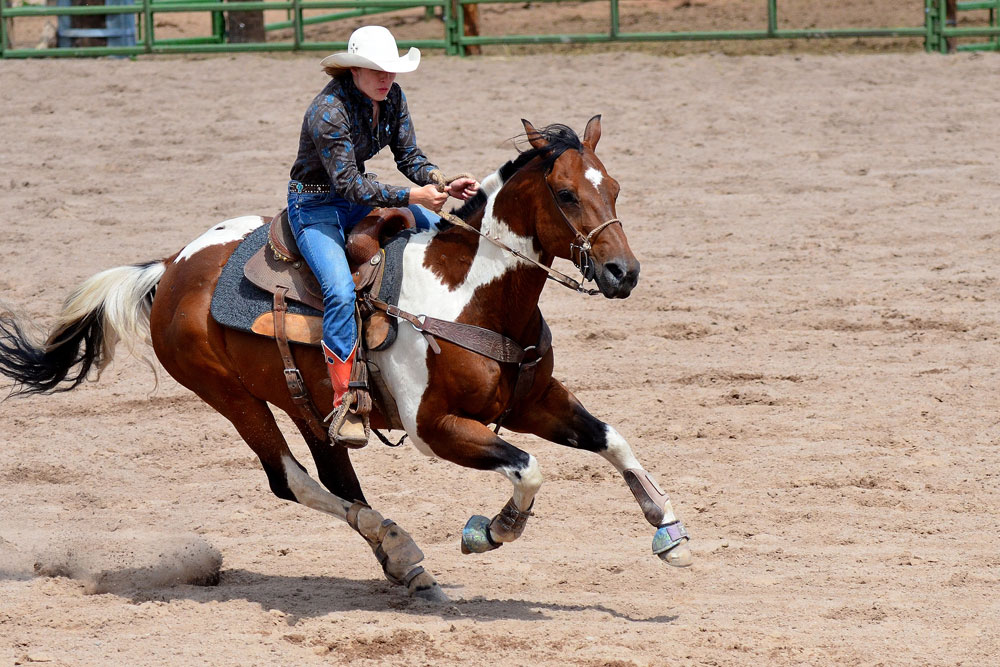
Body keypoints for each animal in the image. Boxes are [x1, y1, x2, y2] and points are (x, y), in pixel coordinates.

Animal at [0, 117, 688, 604]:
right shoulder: (435, 429)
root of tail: (171, 267)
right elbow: (528, 469)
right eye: (566, 194)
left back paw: (399, 559)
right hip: (231, 396)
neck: (473, 297)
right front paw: (490, 531)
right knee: (290, 479)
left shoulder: (534, 402)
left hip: (306, 399)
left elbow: (612, 439)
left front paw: (670, 533)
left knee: (337, 475)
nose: (623, 273)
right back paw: (402, 549)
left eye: (615, 188)